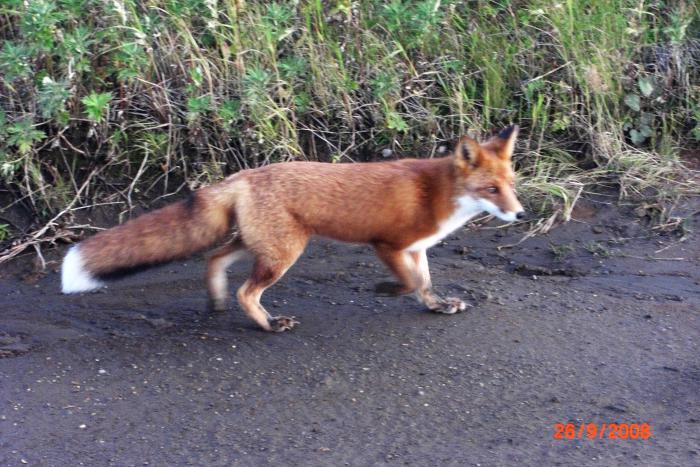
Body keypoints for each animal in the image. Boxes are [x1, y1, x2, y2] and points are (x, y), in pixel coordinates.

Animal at [61, 125, 525, 332]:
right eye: (491, 189)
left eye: (512, 185)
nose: (520, 215)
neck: (436, 195)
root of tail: (243, 175)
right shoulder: (388, 245)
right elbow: (409, 283)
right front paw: (385, 290)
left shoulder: (418, 248)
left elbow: (425, 285)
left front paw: (437, 306)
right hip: (284, 253)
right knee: (247, 291)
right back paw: (267, 324)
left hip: (260, 245)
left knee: (213, 258)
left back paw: (217, 301)